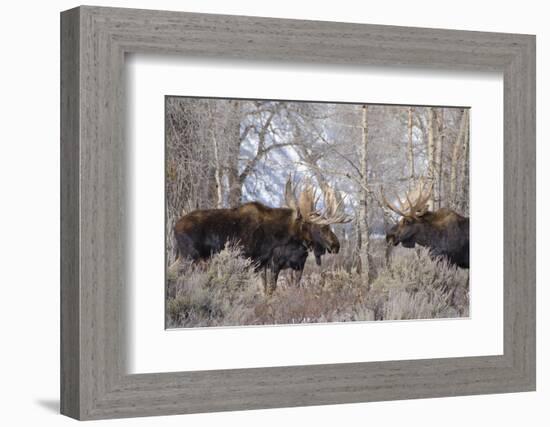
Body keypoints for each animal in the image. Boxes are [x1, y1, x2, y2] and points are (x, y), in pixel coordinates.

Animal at [175, 177, 352, 294]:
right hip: (190, 257)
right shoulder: (263, 262)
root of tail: (174, 227)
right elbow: (268, 290)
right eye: (321, 227)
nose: (336, 245)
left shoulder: (268, 264)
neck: (278, 235)